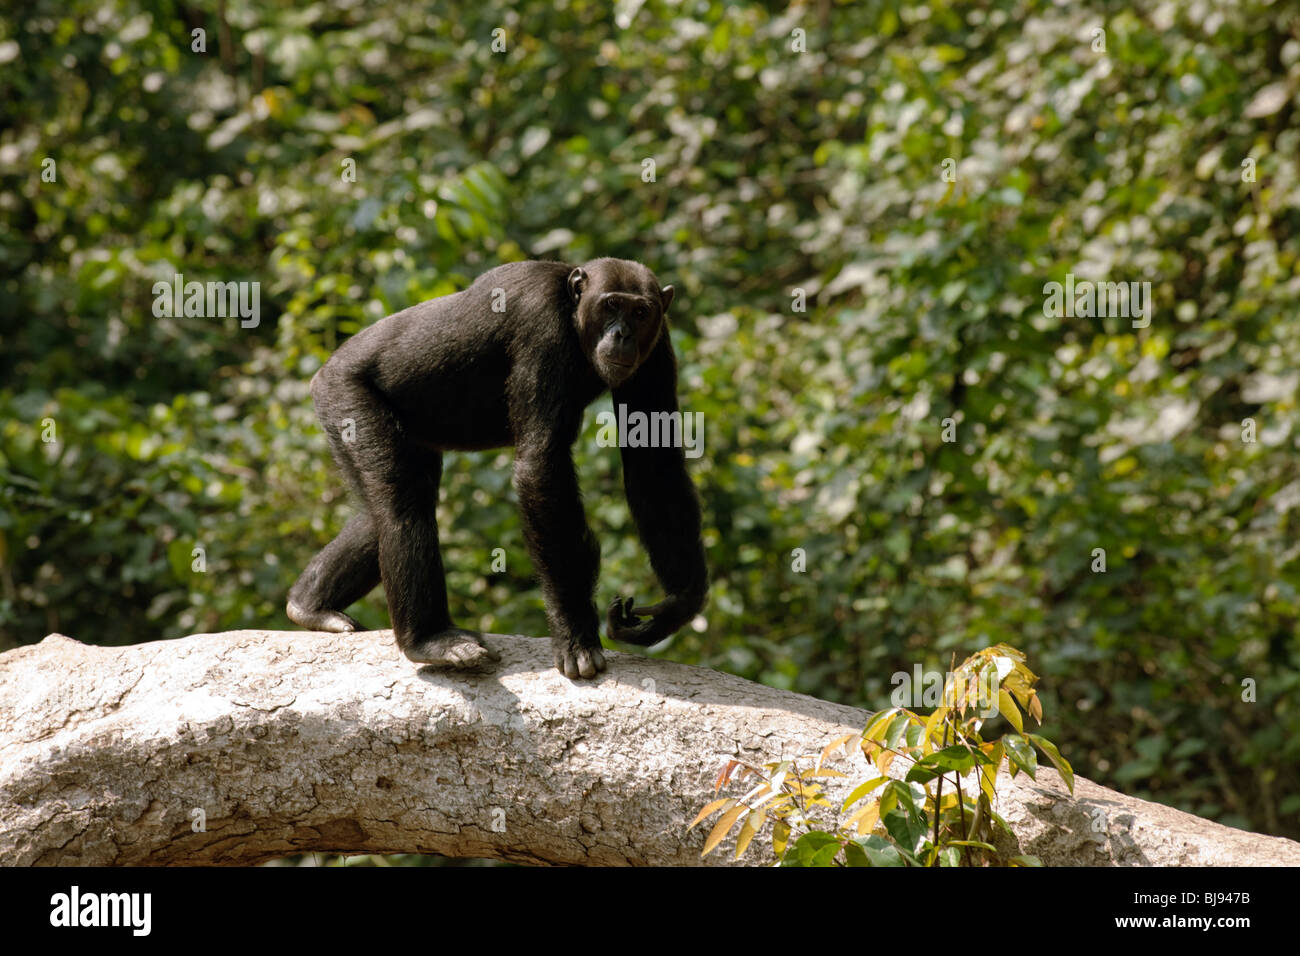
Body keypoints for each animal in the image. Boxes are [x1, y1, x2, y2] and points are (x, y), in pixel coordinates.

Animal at [287, 256, 712, 681]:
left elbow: (653, 460)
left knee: (387, 510)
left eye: (640, 312)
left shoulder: (658, 346)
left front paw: (675, 606)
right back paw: (428, 640)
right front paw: (575, 632)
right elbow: (542, 467)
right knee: (401, 503)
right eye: (611, 305)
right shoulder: (542, 328)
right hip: (345, 398)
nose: (622, 333)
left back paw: (310, 605)